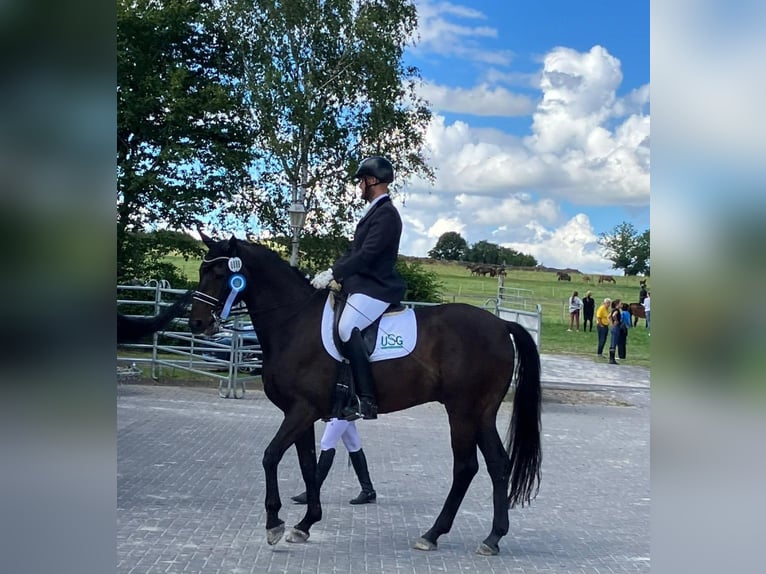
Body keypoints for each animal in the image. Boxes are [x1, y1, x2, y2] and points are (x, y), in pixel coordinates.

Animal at [188, 235, 542, 556]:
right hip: (482, 412)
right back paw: (492, 537)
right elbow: (307, 464)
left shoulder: (302, 410)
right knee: (498, 464)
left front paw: (274, 524)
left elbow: (271, 456)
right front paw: (305, 524)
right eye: (202, 271)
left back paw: (433, 534)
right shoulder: (301, 413)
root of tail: (501, 324)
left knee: (465, 467)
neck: (293, 322)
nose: (197, 322)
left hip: (462, 411)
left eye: (219, 274)